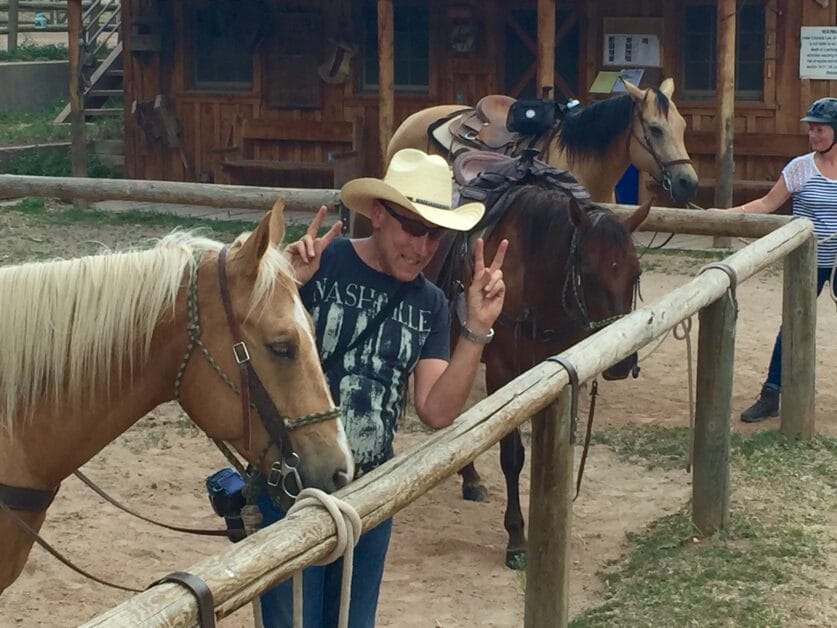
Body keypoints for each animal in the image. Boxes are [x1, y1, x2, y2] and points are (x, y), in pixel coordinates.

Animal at [440, 167, 648, 568]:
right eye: (588, 272)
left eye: (636, 273)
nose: (621, 363)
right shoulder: (503, 372)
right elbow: (512, 456)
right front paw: (517, 537)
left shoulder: (555, 372)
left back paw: (470, 479)